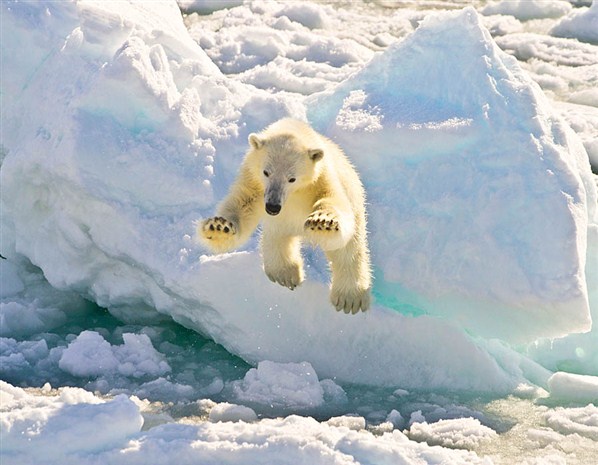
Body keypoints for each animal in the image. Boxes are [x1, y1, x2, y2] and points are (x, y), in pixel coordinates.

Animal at [199, 118, 372, 314]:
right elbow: (241, 204)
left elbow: (333, 202)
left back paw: (350, 298)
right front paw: (219, 227)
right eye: (266, 172)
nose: (273, 206)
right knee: (278, 240)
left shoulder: (322, 179)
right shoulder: (253, 180)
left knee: (349, 250)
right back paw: (286, 274)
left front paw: (322, 222)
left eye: (292, 178)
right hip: (279, 226)